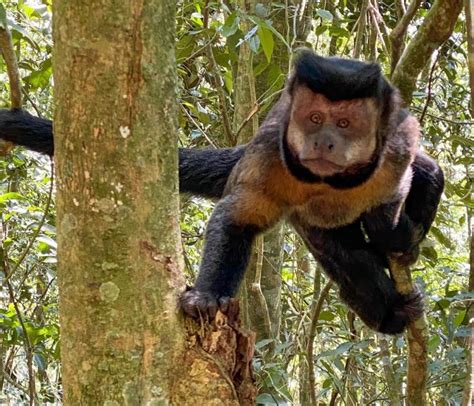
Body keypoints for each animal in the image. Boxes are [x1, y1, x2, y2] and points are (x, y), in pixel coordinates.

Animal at [0, 49, 442, 334]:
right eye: (315, 119)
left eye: (346, 124)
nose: (324, 141)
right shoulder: (269, 160)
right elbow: (237, 219)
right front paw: (207, 296)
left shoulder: (394, 144)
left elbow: (409, 166)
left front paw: (394, 232)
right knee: (344, 255)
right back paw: (391, 314)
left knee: (429, 172)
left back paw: (404, 244)